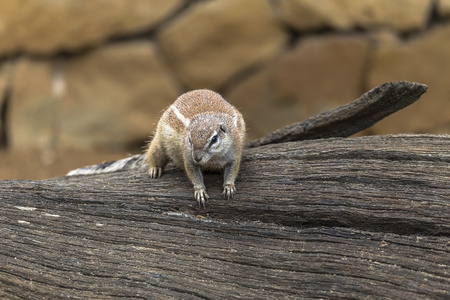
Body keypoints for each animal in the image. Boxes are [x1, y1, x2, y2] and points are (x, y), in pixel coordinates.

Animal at [66, 88, 246, 207]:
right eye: (189, 139)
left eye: (214, 139)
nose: (197, 157)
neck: (213, 159)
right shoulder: (187, 156)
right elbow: (193, 172)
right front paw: (200, 190)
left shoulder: (235, 152)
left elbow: (233, 169)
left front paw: (229, 186)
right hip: (159, 143)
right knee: (153, 156)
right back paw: (155, 169)